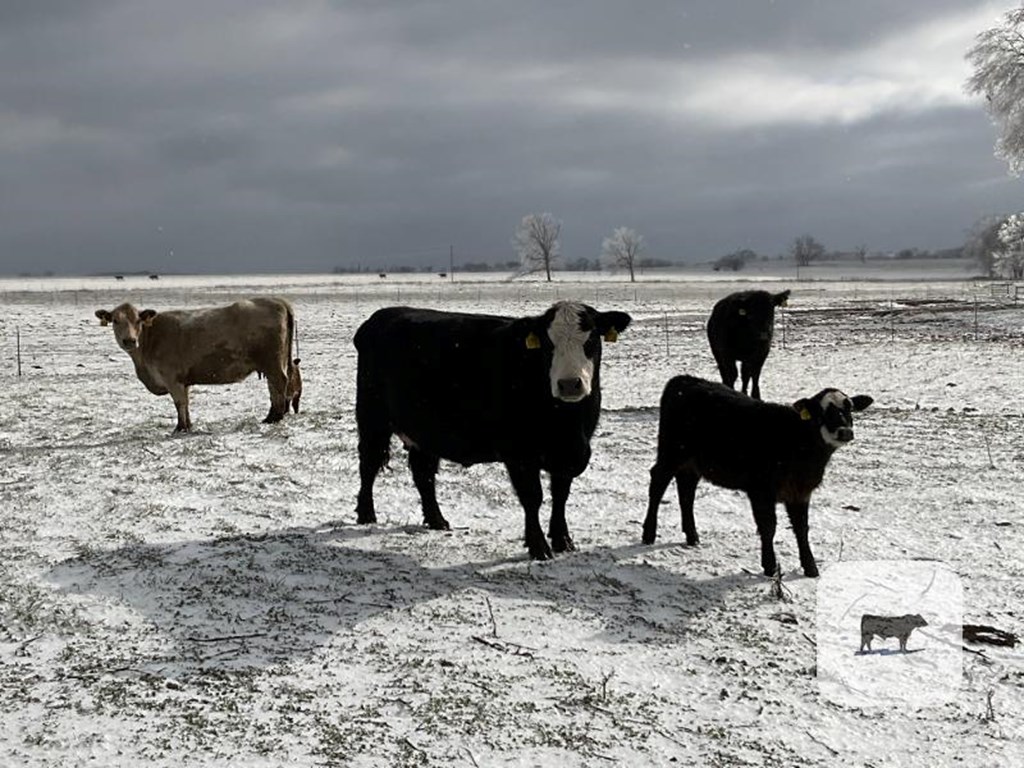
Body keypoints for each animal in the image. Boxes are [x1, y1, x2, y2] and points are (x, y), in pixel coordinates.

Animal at [95, 299, 299, 434]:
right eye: (115, 320)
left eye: (138, 320)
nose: (129, 340)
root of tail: (277, 301)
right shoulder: (182, 380)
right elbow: (186, 403)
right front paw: (188, 425)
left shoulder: (172, 378)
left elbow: (179, 403)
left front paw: (180, 428)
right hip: (272, 363)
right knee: (274, 387)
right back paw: (270, 417)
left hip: (273, 362)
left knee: (279, 384)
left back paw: (275, 418)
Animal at [356, 299, 634, 561]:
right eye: (547, 344)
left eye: (591, 338)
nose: (569, 384)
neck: (567, 422)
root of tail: (380, 316)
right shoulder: (520, 454)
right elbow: (532, 497)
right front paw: (539, 547)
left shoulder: (568, 452)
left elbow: (560, 495)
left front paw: (563, 540)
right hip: (373, 419)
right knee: (369, 465)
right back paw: (366, 514)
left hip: (425, 430)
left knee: (423, 473)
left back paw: (437, 520)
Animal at [638, 376, 872, 581]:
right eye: (821, 411)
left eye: (849, 407)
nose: (844, 431)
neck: (798, 442)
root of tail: (684, 379)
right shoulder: (761, 490)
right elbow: (769, 527)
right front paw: (770, 566)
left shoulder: (800, 492)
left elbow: (802, 529)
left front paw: (810, 567)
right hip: (671, 452)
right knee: (658, 483)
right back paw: (649, 534)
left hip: (692, 462)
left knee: (686, 492)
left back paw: (692, 536)